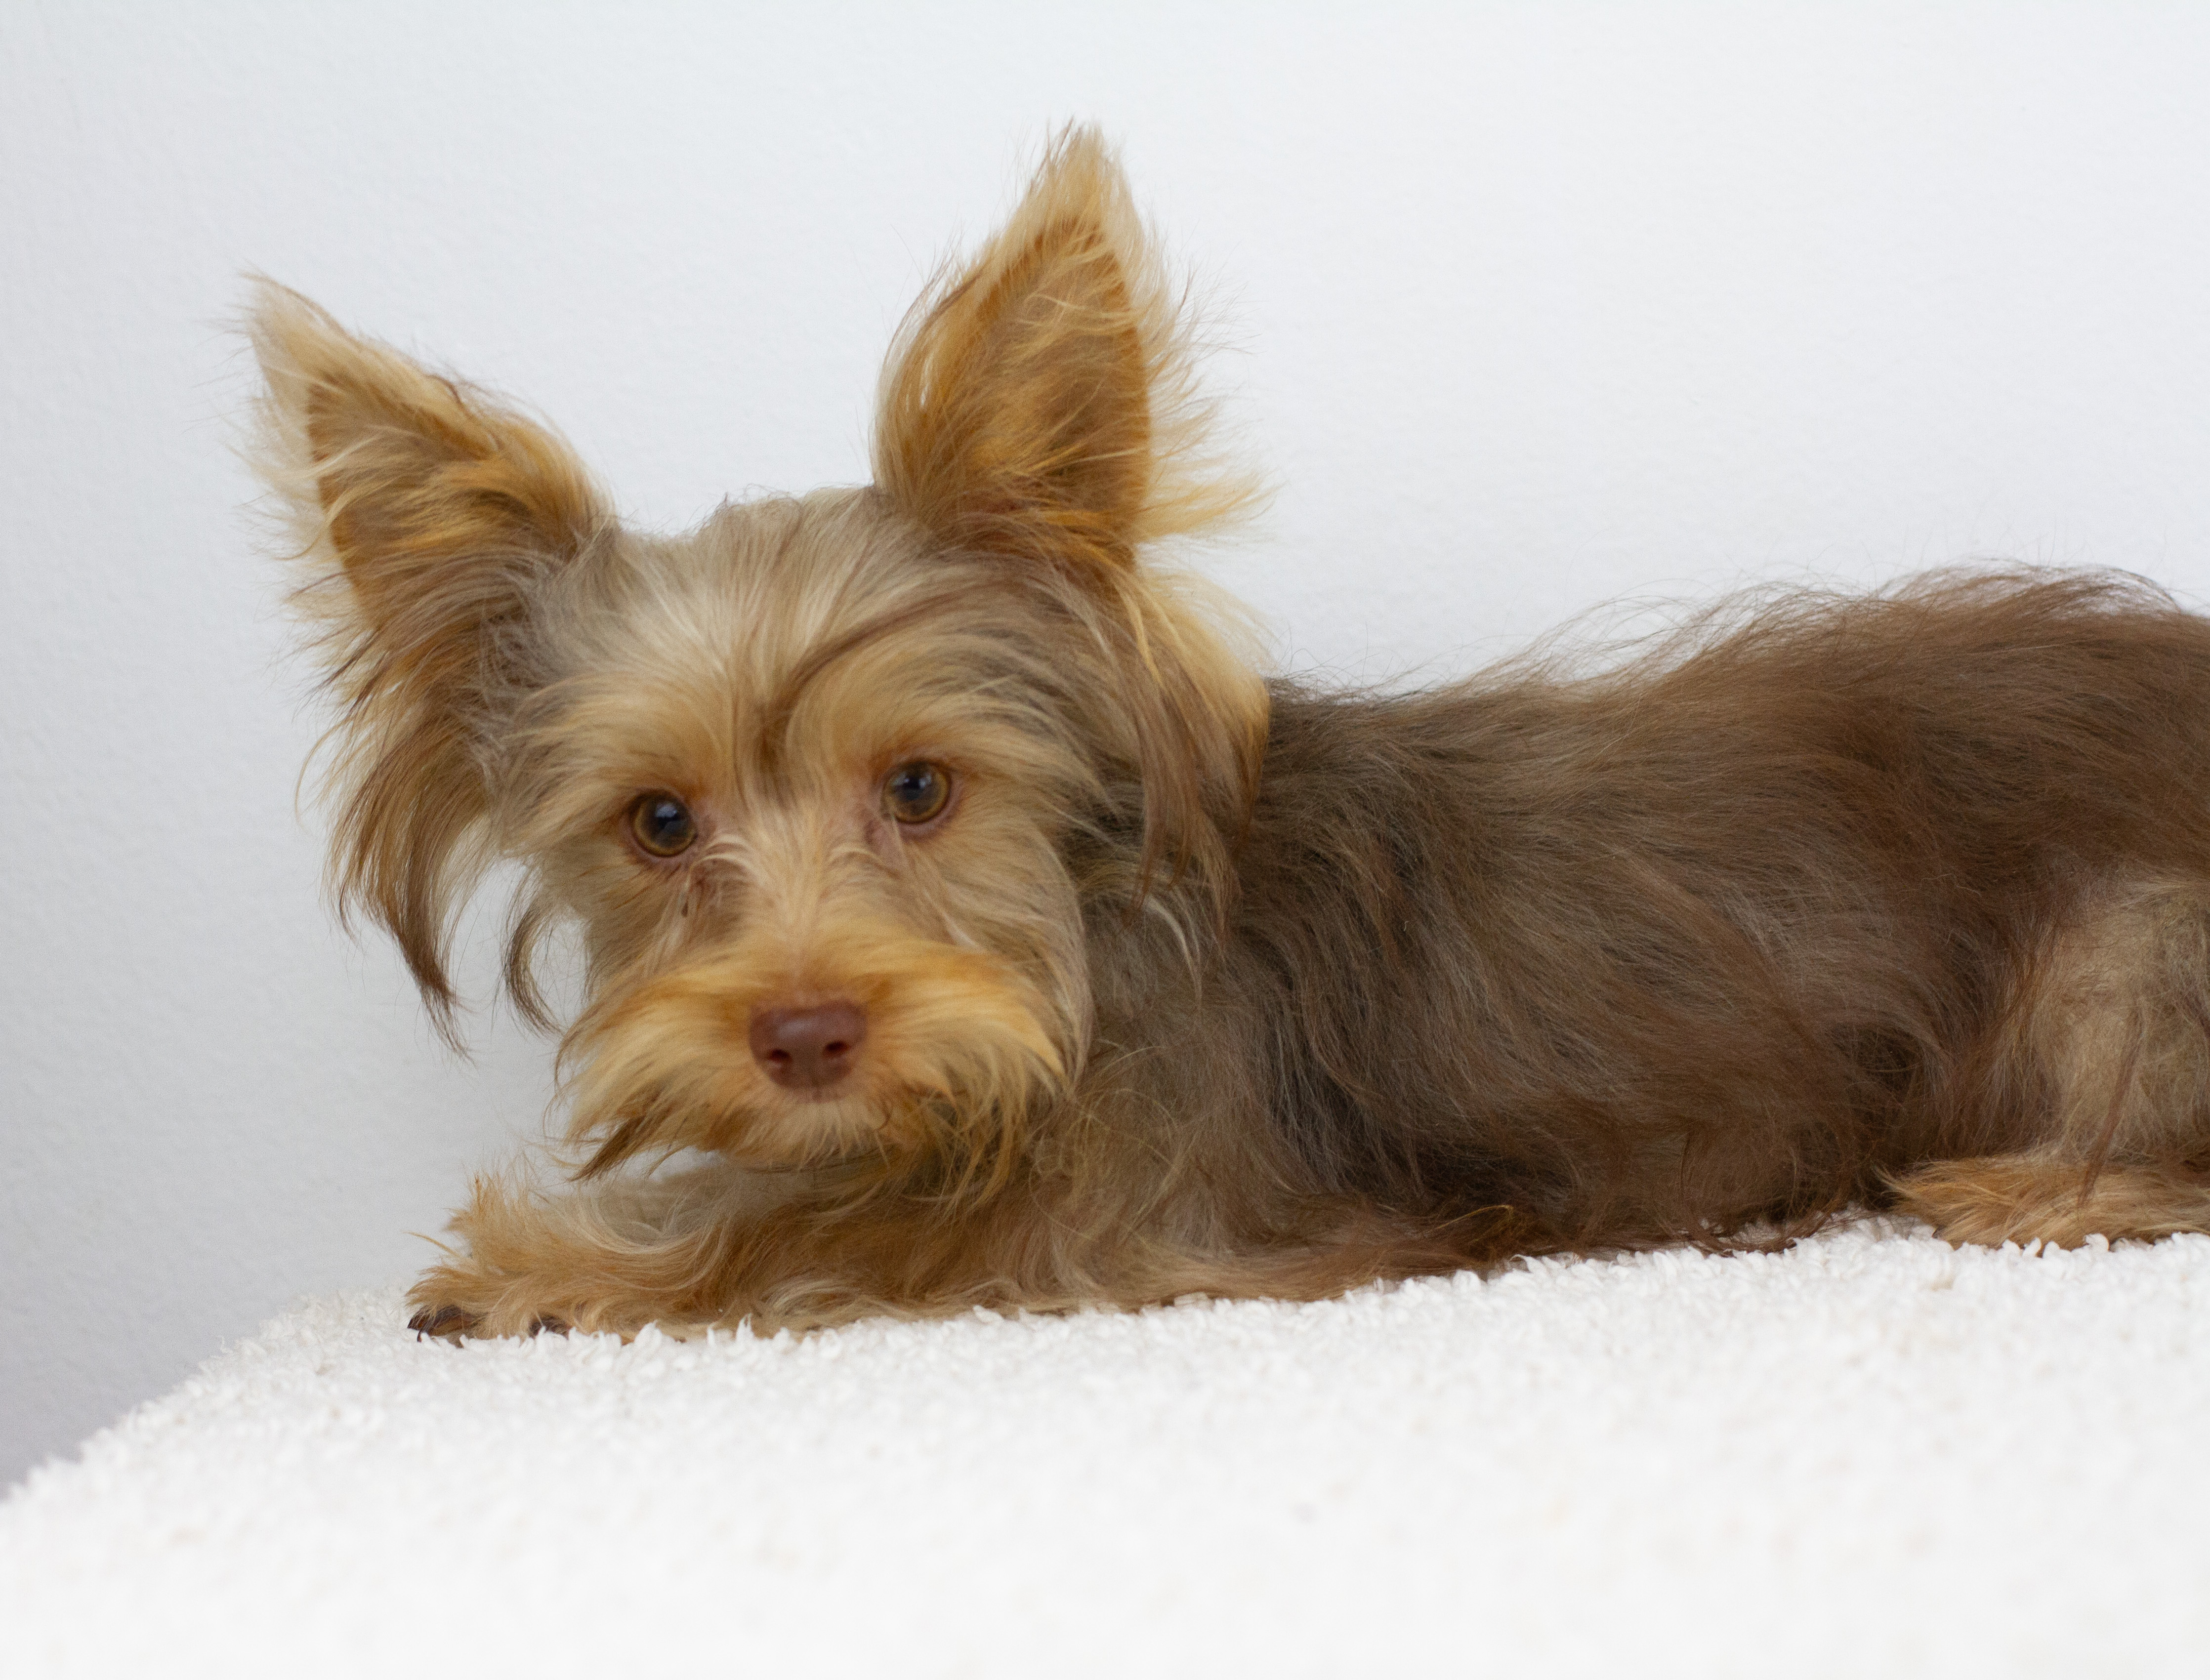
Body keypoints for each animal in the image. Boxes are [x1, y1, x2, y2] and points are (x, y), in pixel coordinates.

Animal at [248, 128, 2210, 1340]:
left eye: (921, 789)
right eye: (658, 824)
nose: (804, 1032)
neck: (1078, 951)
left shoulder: (1142, 1218)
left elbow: (818, 1229)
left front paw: (552, 1260)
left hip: (2122, 958)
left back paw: (2035, 1184)